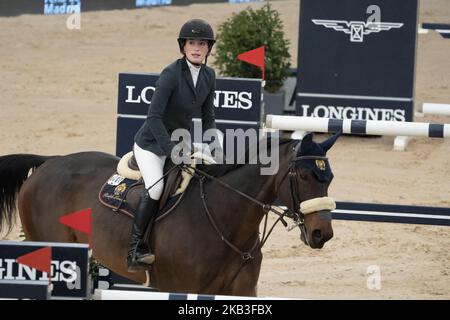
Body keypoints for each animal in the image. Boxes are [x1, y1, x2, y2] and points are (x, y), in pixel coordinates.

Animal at [0, 132, 338, 296]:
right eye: (304, 176)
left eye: (329, 177)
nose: (322, 233)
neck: (223, 221)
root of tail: (49, 162)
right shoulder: (180, 287)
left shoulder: (243, 291)